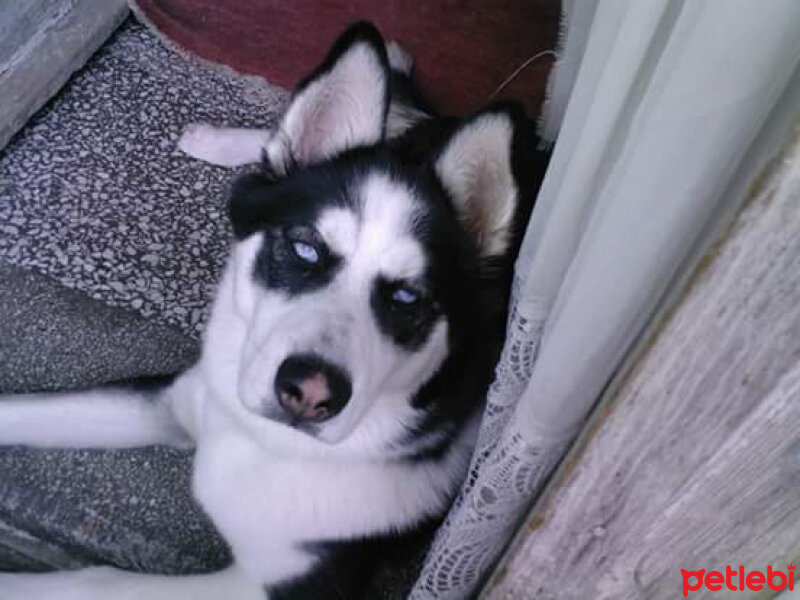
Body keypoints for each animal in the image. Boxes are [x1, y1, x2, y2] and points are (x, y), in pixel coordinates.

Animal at [0, 21, 548, 596]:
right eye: (305, 249)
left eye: (406, 299)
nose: (309, 395)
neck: (267, 443)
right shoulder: (173, 399)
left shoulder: (283, 583)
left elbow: (95, 580)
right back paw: (221, 140)